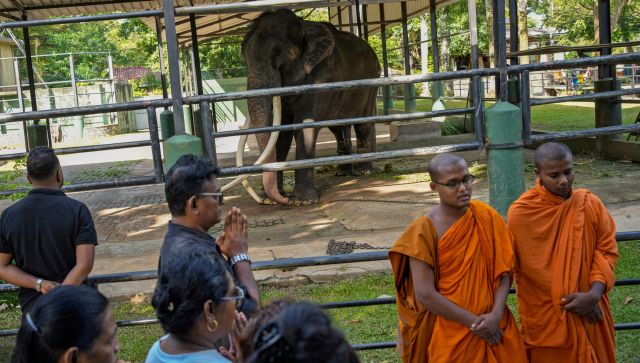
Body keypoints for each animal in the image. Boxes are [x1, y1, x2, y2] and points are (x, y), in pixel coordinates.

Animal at [240, 8, 380, 206]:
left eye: (278, 54)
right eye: (244, 56)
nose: (284, 199)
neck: (303, 25)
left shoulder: (322, 78)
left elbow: (304, 126)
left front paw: (303, 202)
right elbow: (281, 132)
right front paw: (274, 199)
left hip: (371, 83)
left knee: (362, 124)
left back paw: (364, 171)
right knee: (339, 128)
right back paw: (343, 173)